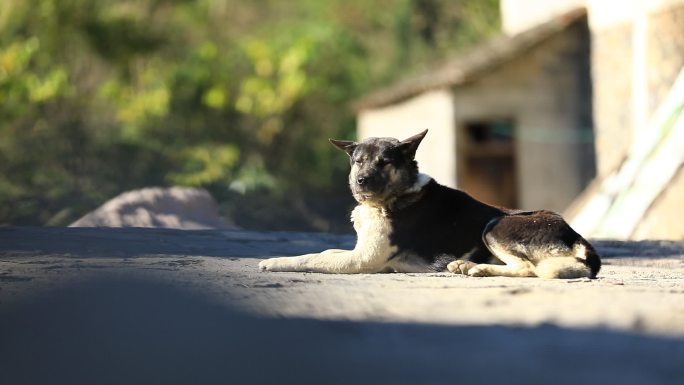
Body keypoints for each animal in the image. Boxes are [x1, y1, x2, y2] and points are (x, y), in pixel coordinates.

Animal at [260, 130, 600, 278]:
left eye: (384, 162)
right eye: (358, 161)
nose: (361, 182)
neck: (396, 196)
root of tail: (576, 236)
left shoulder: (363, 260)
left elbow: (309, 257)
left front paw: (274, 261)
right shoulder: (359, 251)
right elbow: (324, 252)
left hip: (495, 227)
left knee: (530, 269)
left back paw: (474, 268)